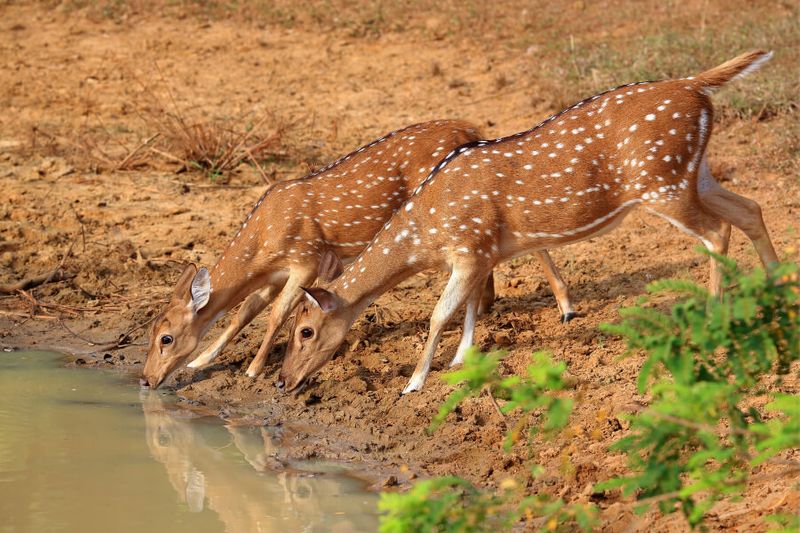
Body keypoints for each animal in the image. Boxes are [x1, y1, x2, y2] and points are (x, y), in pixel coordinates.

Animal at [139, 119, 576, 386]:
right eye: (151, 331)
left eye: (165, 338)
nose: (145, 378)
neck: (263, 238)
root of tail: (472, 127)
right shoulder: (277, 273)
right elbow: (245, 312)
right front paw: (202, 361)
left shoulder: (306, 258)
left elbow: (276, 314)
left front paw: (251, 370)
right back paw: (489, 305)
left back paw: (566, 308)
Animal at [282, 51, 780, 394]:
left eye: (305, 330)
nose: (284, 381)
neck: (425, 235)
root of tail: (696, 85)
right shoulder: (483, 251)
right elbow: (469, 308)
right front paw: (461, 359)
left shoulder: (468, 247)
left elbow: (439, 313)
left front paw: (414, 383)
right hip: (695, 173)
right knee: (750, 209)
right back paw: (778, 286)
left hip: (663, 182)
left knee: (718, 231)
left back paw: (714, 316)